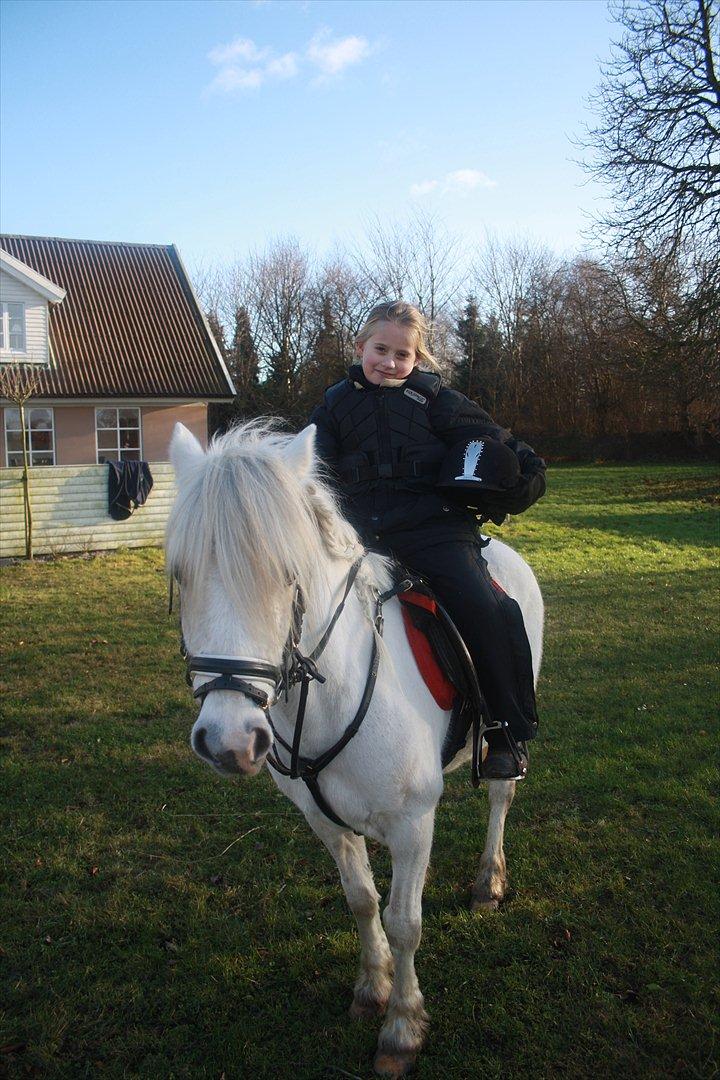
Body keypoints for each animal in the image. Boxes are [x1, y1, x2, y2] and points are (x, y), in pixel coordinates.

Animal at [166, 419, 544, 1079]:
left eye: (286, 574)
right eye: (181, 574)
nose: (229, 741)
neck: (331, 698)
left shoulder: (413, 823)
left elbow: (405, 922)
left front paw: (402, 1028)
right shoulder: (325, 821)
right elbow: (363, 902)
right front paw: (372, 991)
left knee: (501, 798)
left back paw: (488, 882)